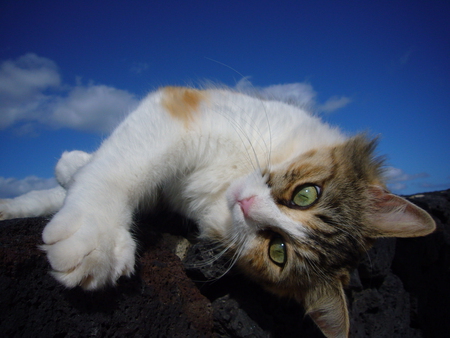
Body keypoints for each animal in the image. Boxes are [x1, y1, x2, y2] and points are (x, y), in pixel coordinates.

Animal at [0, 87, 436, 338]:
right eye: (307, 195)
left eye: (277, 250)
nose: (247, 205)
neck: (228, 180)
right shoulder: (183, 112)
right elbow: (119, 166)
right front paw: (95, 233)